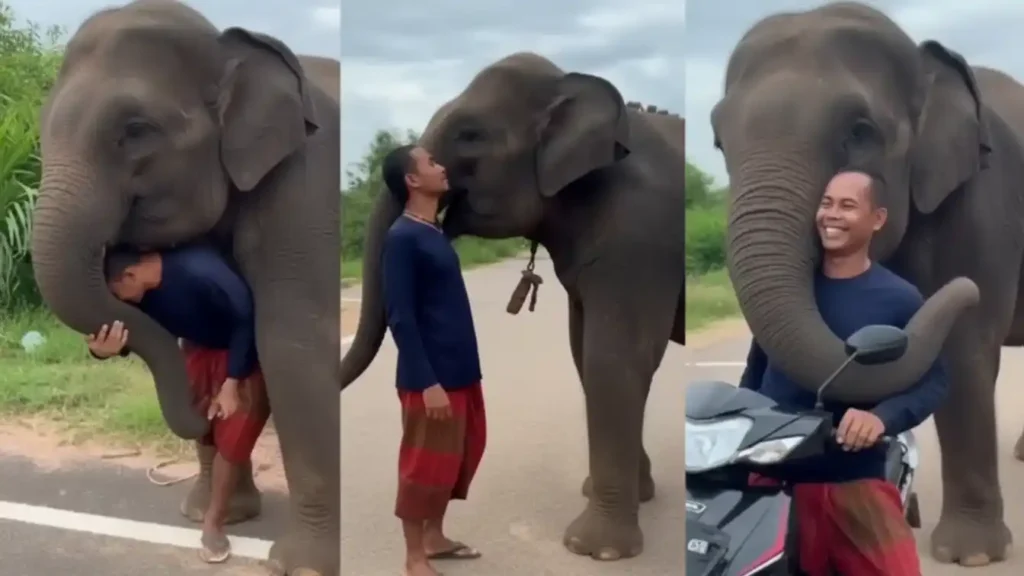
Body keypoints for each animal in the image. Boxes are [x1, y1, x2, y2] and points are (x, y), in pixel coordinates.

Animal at [30, 1, 340, 574]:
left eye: (136, 130)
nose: (209, 412)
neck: (230, 46)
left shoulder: (307, 188)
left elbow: (291, 342)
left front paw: (301, 567)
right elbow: (193, 339)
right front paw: (208, 518)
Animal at [340, 52, 686, 561]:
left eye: (470, 134)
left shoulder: (639, 235)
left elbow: (615, 358)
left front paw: (593, 550)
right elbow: (585, 353)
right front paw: (628, 497)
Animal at [711, 1, 1024, 567]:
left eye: (860, 131)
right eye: (719, 141)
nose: (963, 291)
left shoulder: (984, 200)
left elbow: (964, 353)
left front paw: (969, 556)